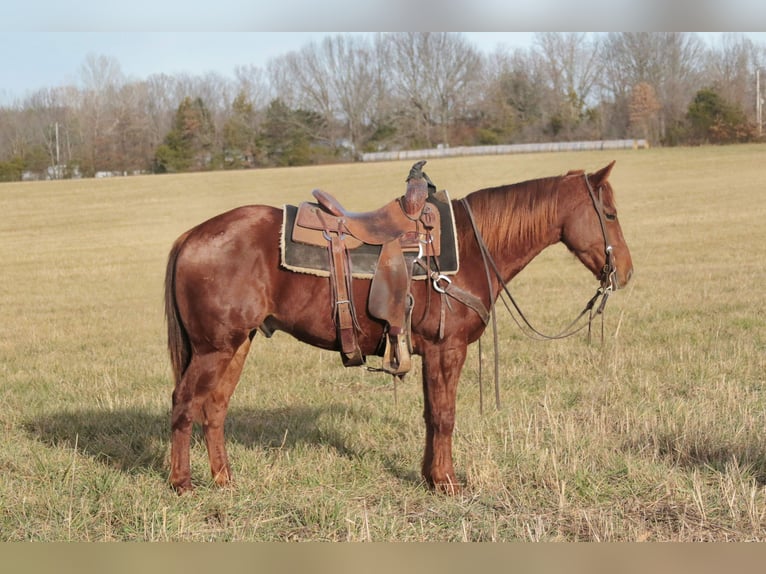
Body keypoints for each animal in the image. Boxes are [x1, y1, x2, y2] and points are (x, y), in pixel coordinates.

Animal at [164, 161, 634, 494]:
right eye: (609, 213)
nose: (625, 272)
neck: (471, 246)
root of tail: (190, 236)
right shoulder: (448, 349)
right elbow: (444, 415)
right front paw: (448, 482)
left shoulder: (431, 353)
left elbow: (430, 414)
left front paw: (430, 477)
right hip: (212, 349)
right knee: (184, 404)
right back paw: (182, 484)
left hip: (237, 345)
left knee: (215, 408)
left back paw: (224, 480)